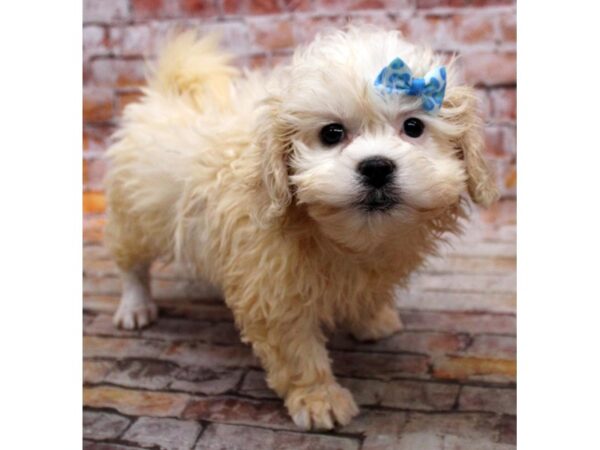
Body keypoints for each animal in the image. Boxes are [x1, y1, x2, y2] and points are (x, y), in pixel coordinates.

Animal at [103, 27, 496, 428]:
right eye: (332, 133)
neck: (345, 237)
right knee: (131, 263)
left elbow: (366, 292)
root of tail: (166, 92)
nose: (376, 167)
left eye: (414, 126)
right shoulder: (273, 291)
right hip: (134, 215)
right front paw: (319, 398)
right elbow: (297, 351)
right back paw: (135, 306)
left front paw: (371, 318)